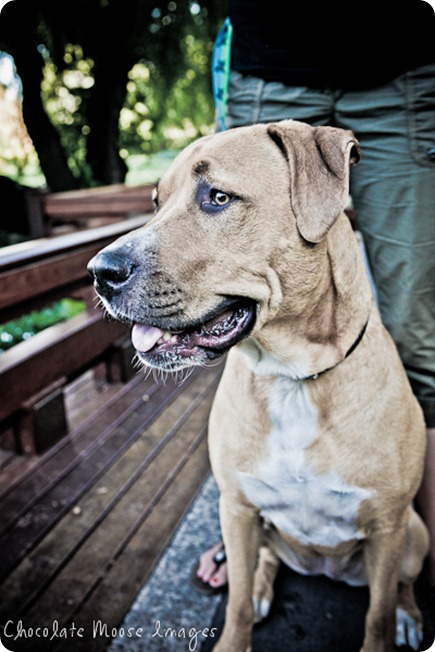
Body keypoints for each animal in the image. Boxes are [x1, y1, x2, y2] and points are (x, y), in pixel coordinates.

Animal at [87, 121, 430, 652]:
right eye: (156, 201)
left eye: (218, 197)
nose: (100, 273)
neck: (293, 378)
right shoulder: (238, 509)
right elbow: (239, 605)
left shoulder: (388, 526)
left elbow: (377, 616)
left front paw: (391, 623)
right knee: (264, 565)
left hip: (414, 536)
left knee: (401, 585)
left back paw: (410, 615)